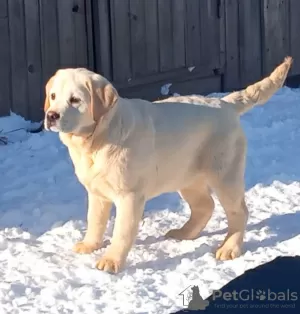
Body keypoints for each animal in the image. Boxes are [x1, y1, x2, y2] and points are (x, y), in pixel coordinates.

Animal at [44, 57, 292, 274]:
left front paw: (111, 261)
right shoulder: (97, 193)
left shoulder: (129, 196)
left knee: (238, 211)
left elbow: (121, 232)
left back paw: (230, 248)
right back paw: (184, 233)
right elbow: (94, 221)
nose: (51, 115)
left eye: (75, 100)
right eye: (53, 96)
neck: (98, 138)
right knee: (205, 206)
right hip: (185, 176)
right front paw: (89, 245)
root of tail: (224, 103)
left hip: (224, 174)